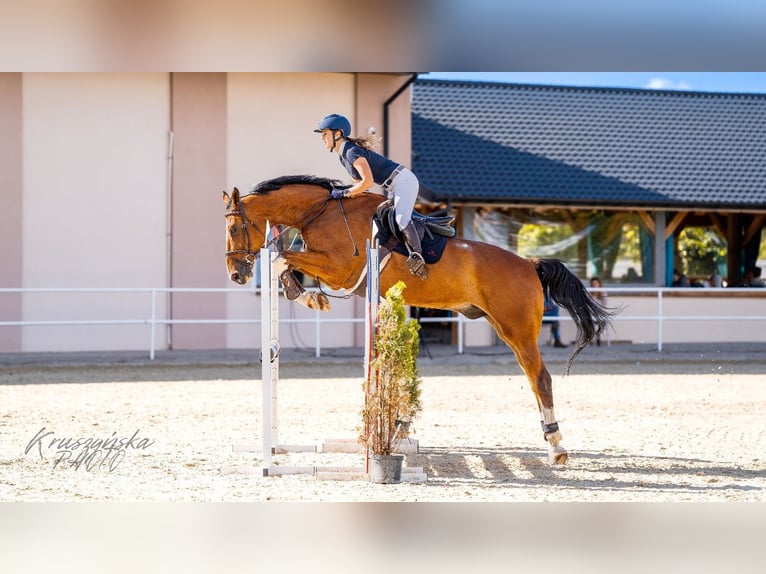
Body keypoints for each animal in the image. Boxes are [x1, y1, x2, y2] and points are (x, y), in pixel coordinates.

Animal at [220, 173, 612, 466]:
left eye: (235, 229)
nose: (237, 275)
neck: (319, 212)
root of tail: (529, 263)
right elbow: (285, 259)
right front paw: (306, 295)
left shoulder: (339, 268)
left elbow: (282, 257)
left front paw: (307, 295)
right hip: (503, 327)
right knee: (534, 377)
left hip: (517, 330)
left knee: (540, 378)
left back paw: (556, 446)